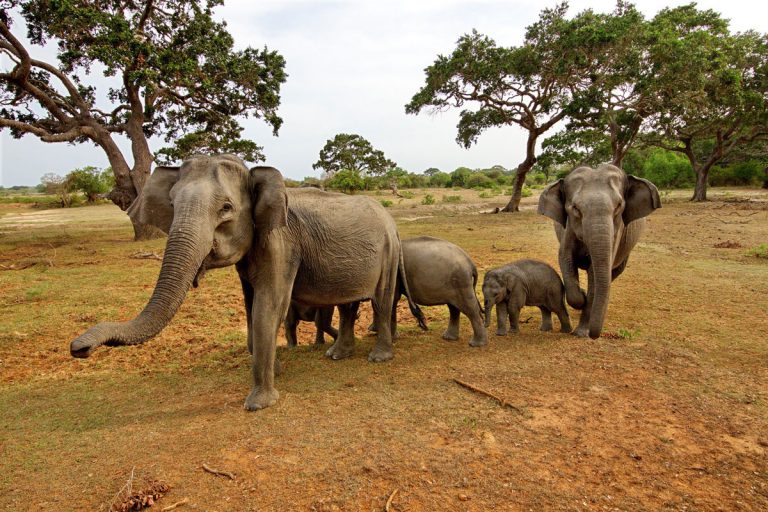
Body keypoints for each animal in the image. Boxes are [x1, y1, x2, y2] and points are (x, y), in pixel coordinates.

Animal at [69, 154, 426, 411]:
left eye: (226, 208)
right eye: (172, 204)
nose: (78, 348)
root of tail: (392, 221)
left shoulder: (281, 243)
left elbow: (269, 304)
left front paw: (258, 404)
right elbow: (250, 303)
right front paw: (276, 370)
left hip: (388, 252)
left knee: (381, 301)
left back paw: (378, 358)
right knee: (348, 304)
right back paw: (337, 355)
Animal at [537, 163, 660, 339]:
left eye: (618, 206)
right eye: (575, 208)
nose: (595, 334)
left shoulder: (617, 232)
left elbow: (595, 274)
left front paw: (581, 332)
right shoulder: (568, 228)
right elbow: (565, 258)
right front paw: (581, 295)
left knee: (612, 274)